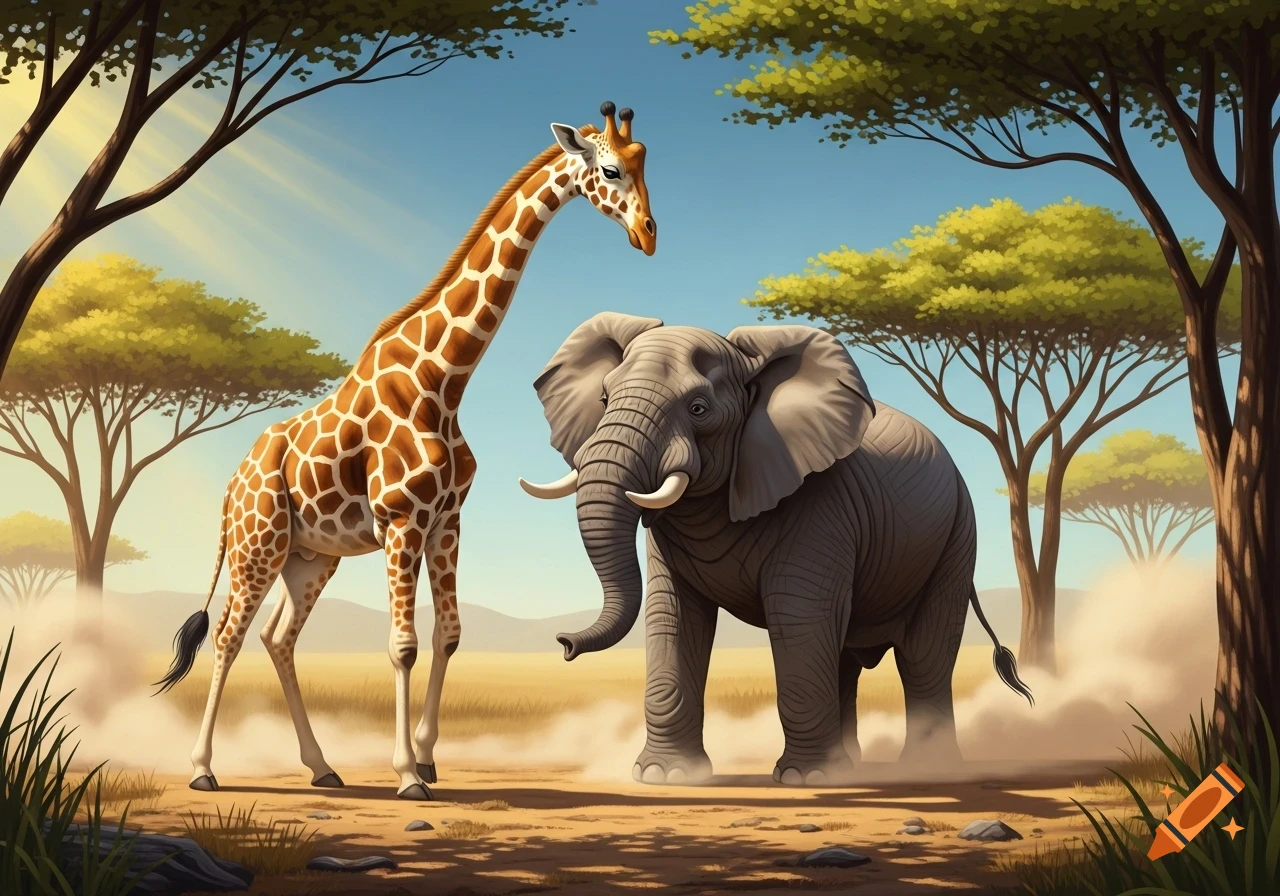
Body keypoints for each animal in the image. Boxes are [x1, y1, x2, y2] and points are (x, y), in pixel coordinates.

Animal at [154, 102, 657, 800]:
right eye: (610, 169)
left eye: (646, 162)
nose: (648, 234)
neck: (443, 379)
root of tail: (232, 486)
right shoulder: (400, 519)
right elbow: (403, 645)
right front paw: (406, 776)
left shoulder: (446, 521)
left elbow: (448, 635)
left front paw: (426, 759)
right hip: (260, 544)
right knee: (229, 635)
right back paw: (203, 770)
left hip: (310, 556)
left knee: (277, 638)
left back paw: (323, 767)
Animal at [519, 313, 1033, 786]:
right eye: (604, 399)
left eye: (699, 408)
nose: (564, 644)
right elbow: (674, 616)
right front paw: (665, 777)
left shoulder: (819, 503)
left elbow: (800, 621)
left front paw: (804, 780)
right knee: (845, 657)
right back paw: (850, 767)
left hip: (956, 536)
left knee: (923, 655)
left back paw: (923, 768)